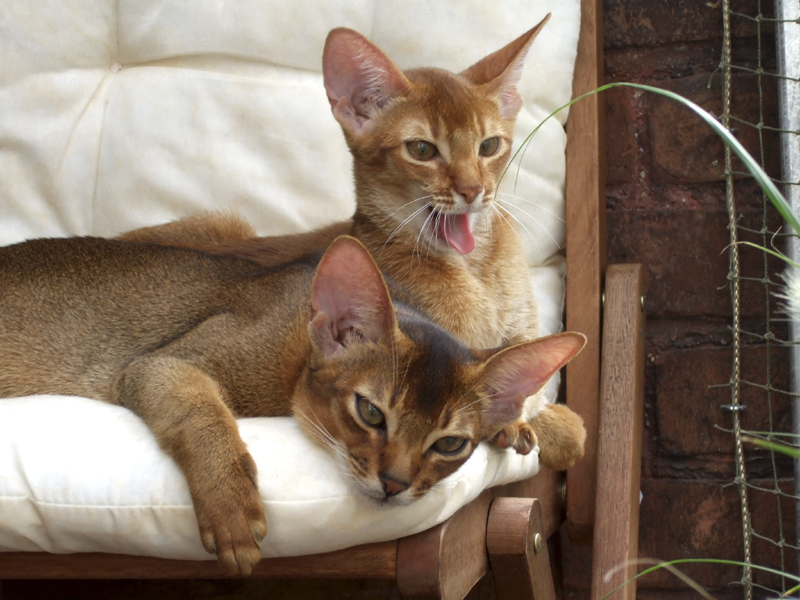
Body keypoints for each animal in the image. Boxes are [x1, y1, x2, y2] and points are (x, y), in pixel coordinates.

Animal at [0, 234, 585, 575]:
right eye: (370, 412)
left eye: (450, 445)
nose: (394, 484)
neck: (295, 351)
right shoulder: (160, 364)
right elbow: (201, 413)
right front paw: (232, 505)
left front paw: (520, 424)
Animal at [120, 15, 588, 471]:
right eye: (422, 149)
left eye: (489, 146)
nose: (474, 191)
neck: (479, 274)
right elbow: (523, 403)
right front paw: (530, 427)